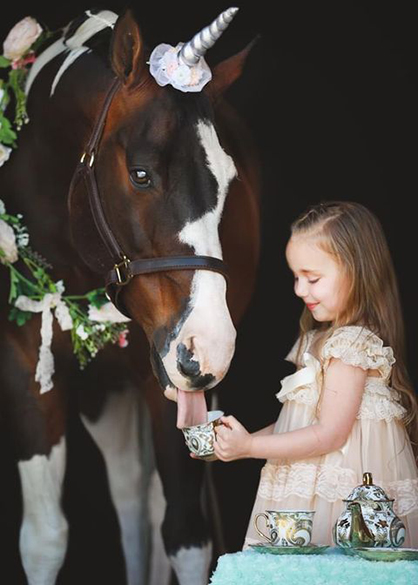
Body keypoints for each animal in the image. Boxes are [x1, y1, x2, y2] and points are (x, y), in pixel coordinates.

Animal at [0, 5, 260, 584]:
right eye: (141, 174)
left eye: (229, 182)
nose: (209, 345)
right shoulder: (27, 368)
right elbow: (45, 540)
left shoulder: (167, 376)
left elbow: (187, 535)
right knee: (130, 497)